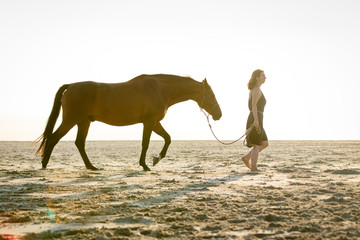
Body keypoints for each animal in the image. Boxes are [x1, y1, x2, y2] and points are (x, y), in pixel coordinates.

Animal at [36, 73, 222, 171]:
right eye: (212, 95)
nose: (219, 114)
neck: (160, 89)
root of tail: (71, 86)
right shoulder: (149, 122)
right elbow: (145, 143)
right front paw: (146, 164)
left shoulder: (155, 122)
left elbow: (168, 138)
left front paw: (156, 159)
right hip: (71, 120)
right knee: (54, 138)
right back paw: (44, 165)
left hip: (83, 122)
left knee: (79, 143)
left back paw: (91, 167)